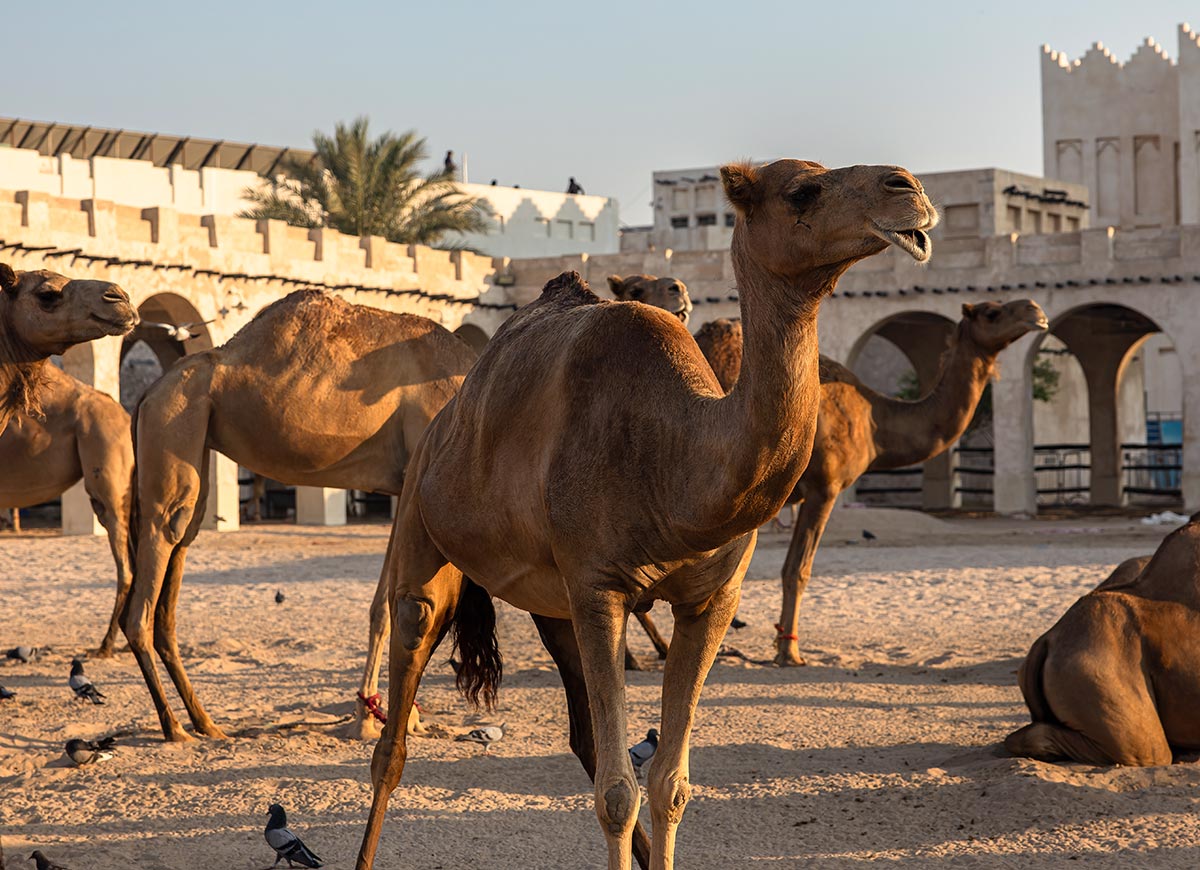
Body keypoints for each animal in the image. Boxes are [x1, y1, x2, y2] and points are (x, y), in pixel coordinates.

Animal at [121, 291, 477, 739]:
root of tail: (146, 395)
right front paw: (375, 720)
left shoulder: (403, 486)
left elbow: (386, 604)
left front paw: (383, 713)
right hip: (172, 424)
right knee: (151, 577)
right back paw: (174, 728)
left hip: (191, 438)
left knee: (178, 551)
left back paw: (205, 722)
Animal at [352, 158, 936, 868]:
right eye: (802, 190)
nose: (908, 188)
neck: (675, 460)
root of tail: (441, 428)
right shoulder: (599, 586)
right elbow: (617, 793)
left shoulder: (710, 599)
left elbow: (669, 784)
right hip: (423, 530)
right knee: (395, 727)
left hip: (553, 605)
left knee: (581, 736)